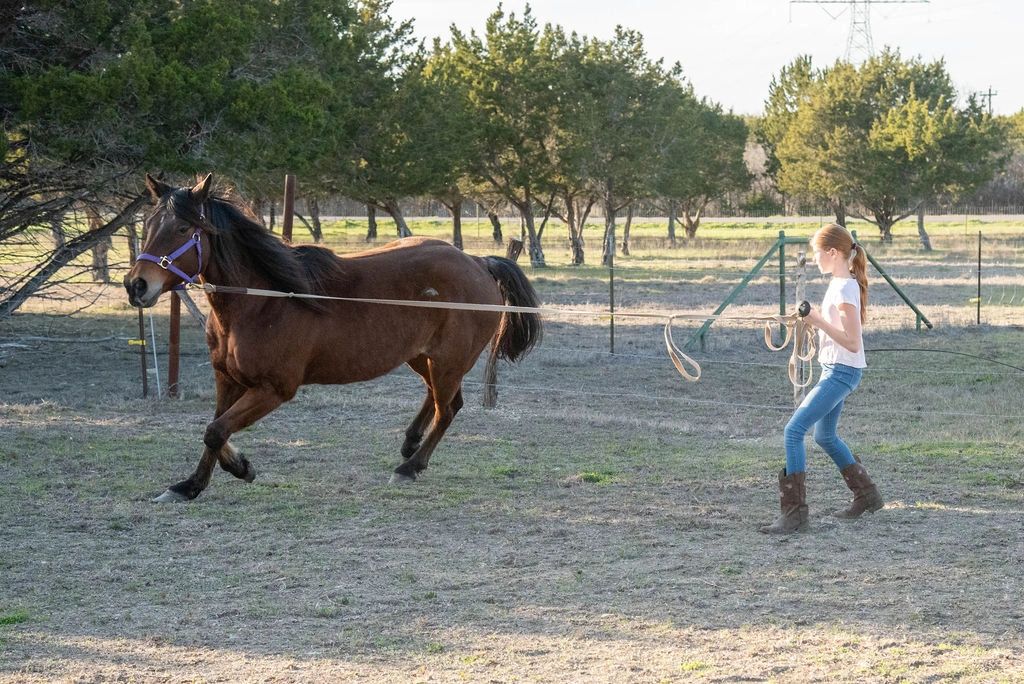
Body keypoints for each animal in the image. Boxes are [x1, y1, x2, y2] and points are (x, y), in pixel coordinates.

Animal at [125, 174, 544, 499]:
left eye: (182, 229)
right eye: (147, 226)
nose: (136, 285)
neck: (263, 302)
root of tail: (477, 262)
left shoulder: (274, 389)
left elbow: (216, 431)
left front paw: (237, 470)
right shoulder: (227, 380)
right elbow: (214, 431)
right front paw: (193, 484)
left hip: (448, 361)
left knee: (449, 408)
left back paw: (409, 466)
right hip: (421, 356)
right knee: (438, 400)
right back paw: (410, 442)